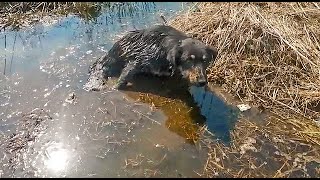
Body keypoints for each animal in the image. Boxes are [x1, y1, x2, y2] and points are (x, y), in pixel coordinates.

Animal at [84, 24, 218, 90]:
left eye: (205, 61)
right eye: (189, 60)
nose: (202, 82)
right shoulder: (137, 61)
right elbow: (123, 79)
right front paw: (116, 88)